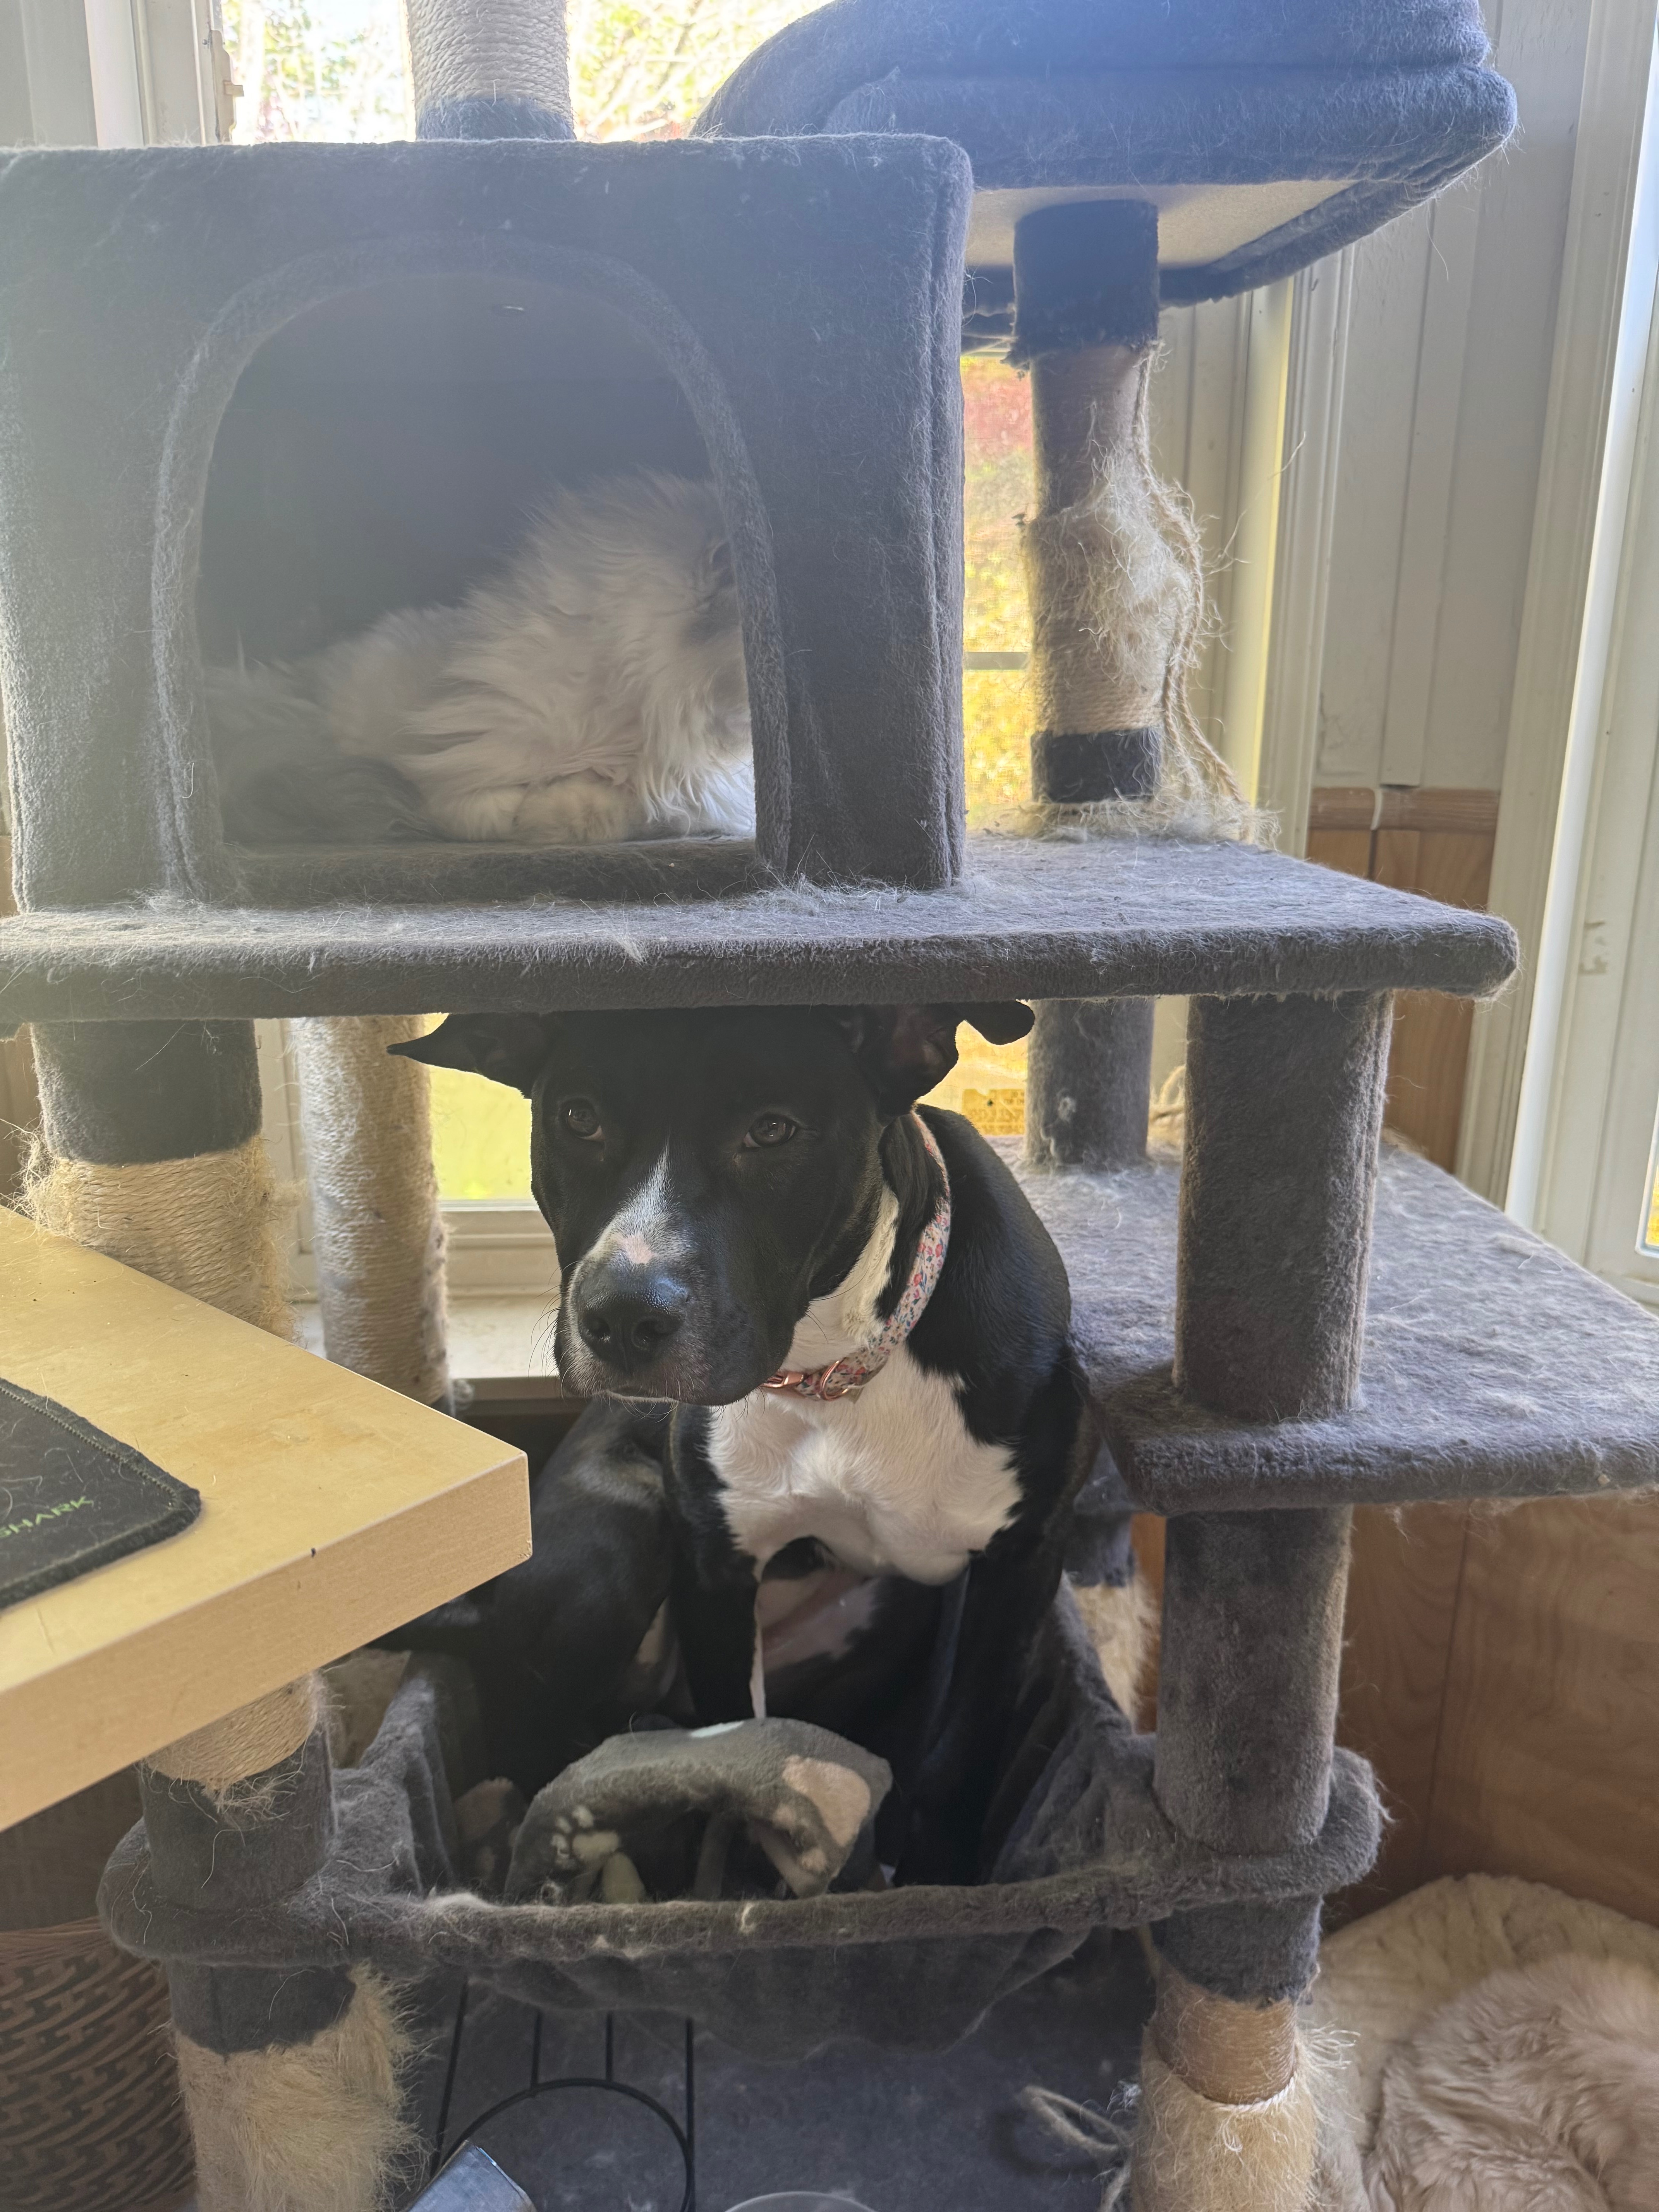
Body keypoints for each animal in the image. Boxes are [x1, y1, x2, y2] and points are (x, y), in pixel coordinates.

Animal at [207, 471, 753, 848]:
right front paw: (533, 815)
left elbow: (625, 810)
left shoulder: (697, 794)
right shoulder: (452, 768)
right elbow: (489, 809)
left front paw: (559, 814)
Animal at [390, 1001, 1090, 1884]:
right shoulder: (716, 1572)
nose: (622, 1315)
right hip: (621, 1528)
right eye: (578, 1117)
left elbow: (957, 1746)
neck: (836, 1372)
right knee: (536, 1750)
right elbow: (735, 1756)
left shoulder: (1018, 1564)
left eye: (772, 1130)